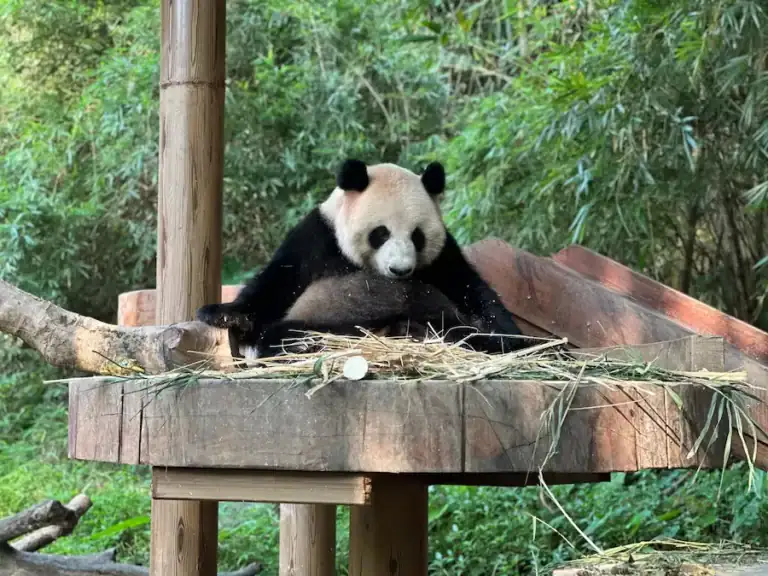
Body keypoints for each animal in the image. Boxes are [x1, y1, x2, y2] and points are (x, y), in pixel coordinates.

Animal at [196, 158, 528, 357]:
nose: (400, 270)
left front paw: (502, 335)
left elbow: (472, 291)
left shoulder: (443, 257)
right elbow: (275, 285)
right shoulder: (317, 237)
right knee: (282, 333)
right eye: (380, 233)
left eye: (417, 236)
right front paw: (224, 314)